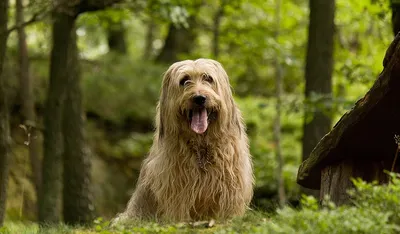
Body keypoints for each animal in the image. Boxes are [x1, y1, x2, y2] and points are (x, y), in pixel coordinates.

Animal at [114, 58, 255, 223]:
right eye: (184, 80)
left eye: (208, 78)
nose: (199, 98)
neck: (201, 147)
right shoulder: (177, 187)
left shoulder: (230, 186)